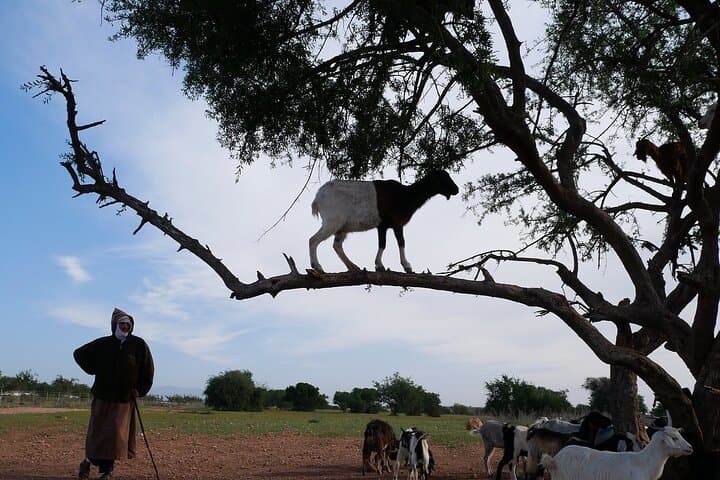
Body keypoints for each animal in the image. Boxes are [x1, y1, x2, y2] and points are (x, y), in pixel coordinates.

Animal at [309, 170, 459, 273]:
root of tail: (317, 198)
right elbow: (401, 242)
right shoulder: (397, 222)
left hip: (342, 227)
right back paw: (317, 267)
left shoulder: (383, 226)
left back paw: (353, 267)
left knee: (337, 245)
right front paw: (407, 266)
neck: (406, 195)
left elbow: (382, 243)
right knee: (313, 240)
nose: (456, 189)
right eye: (444, 178)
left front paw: (379, 265)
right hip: (333, 220)